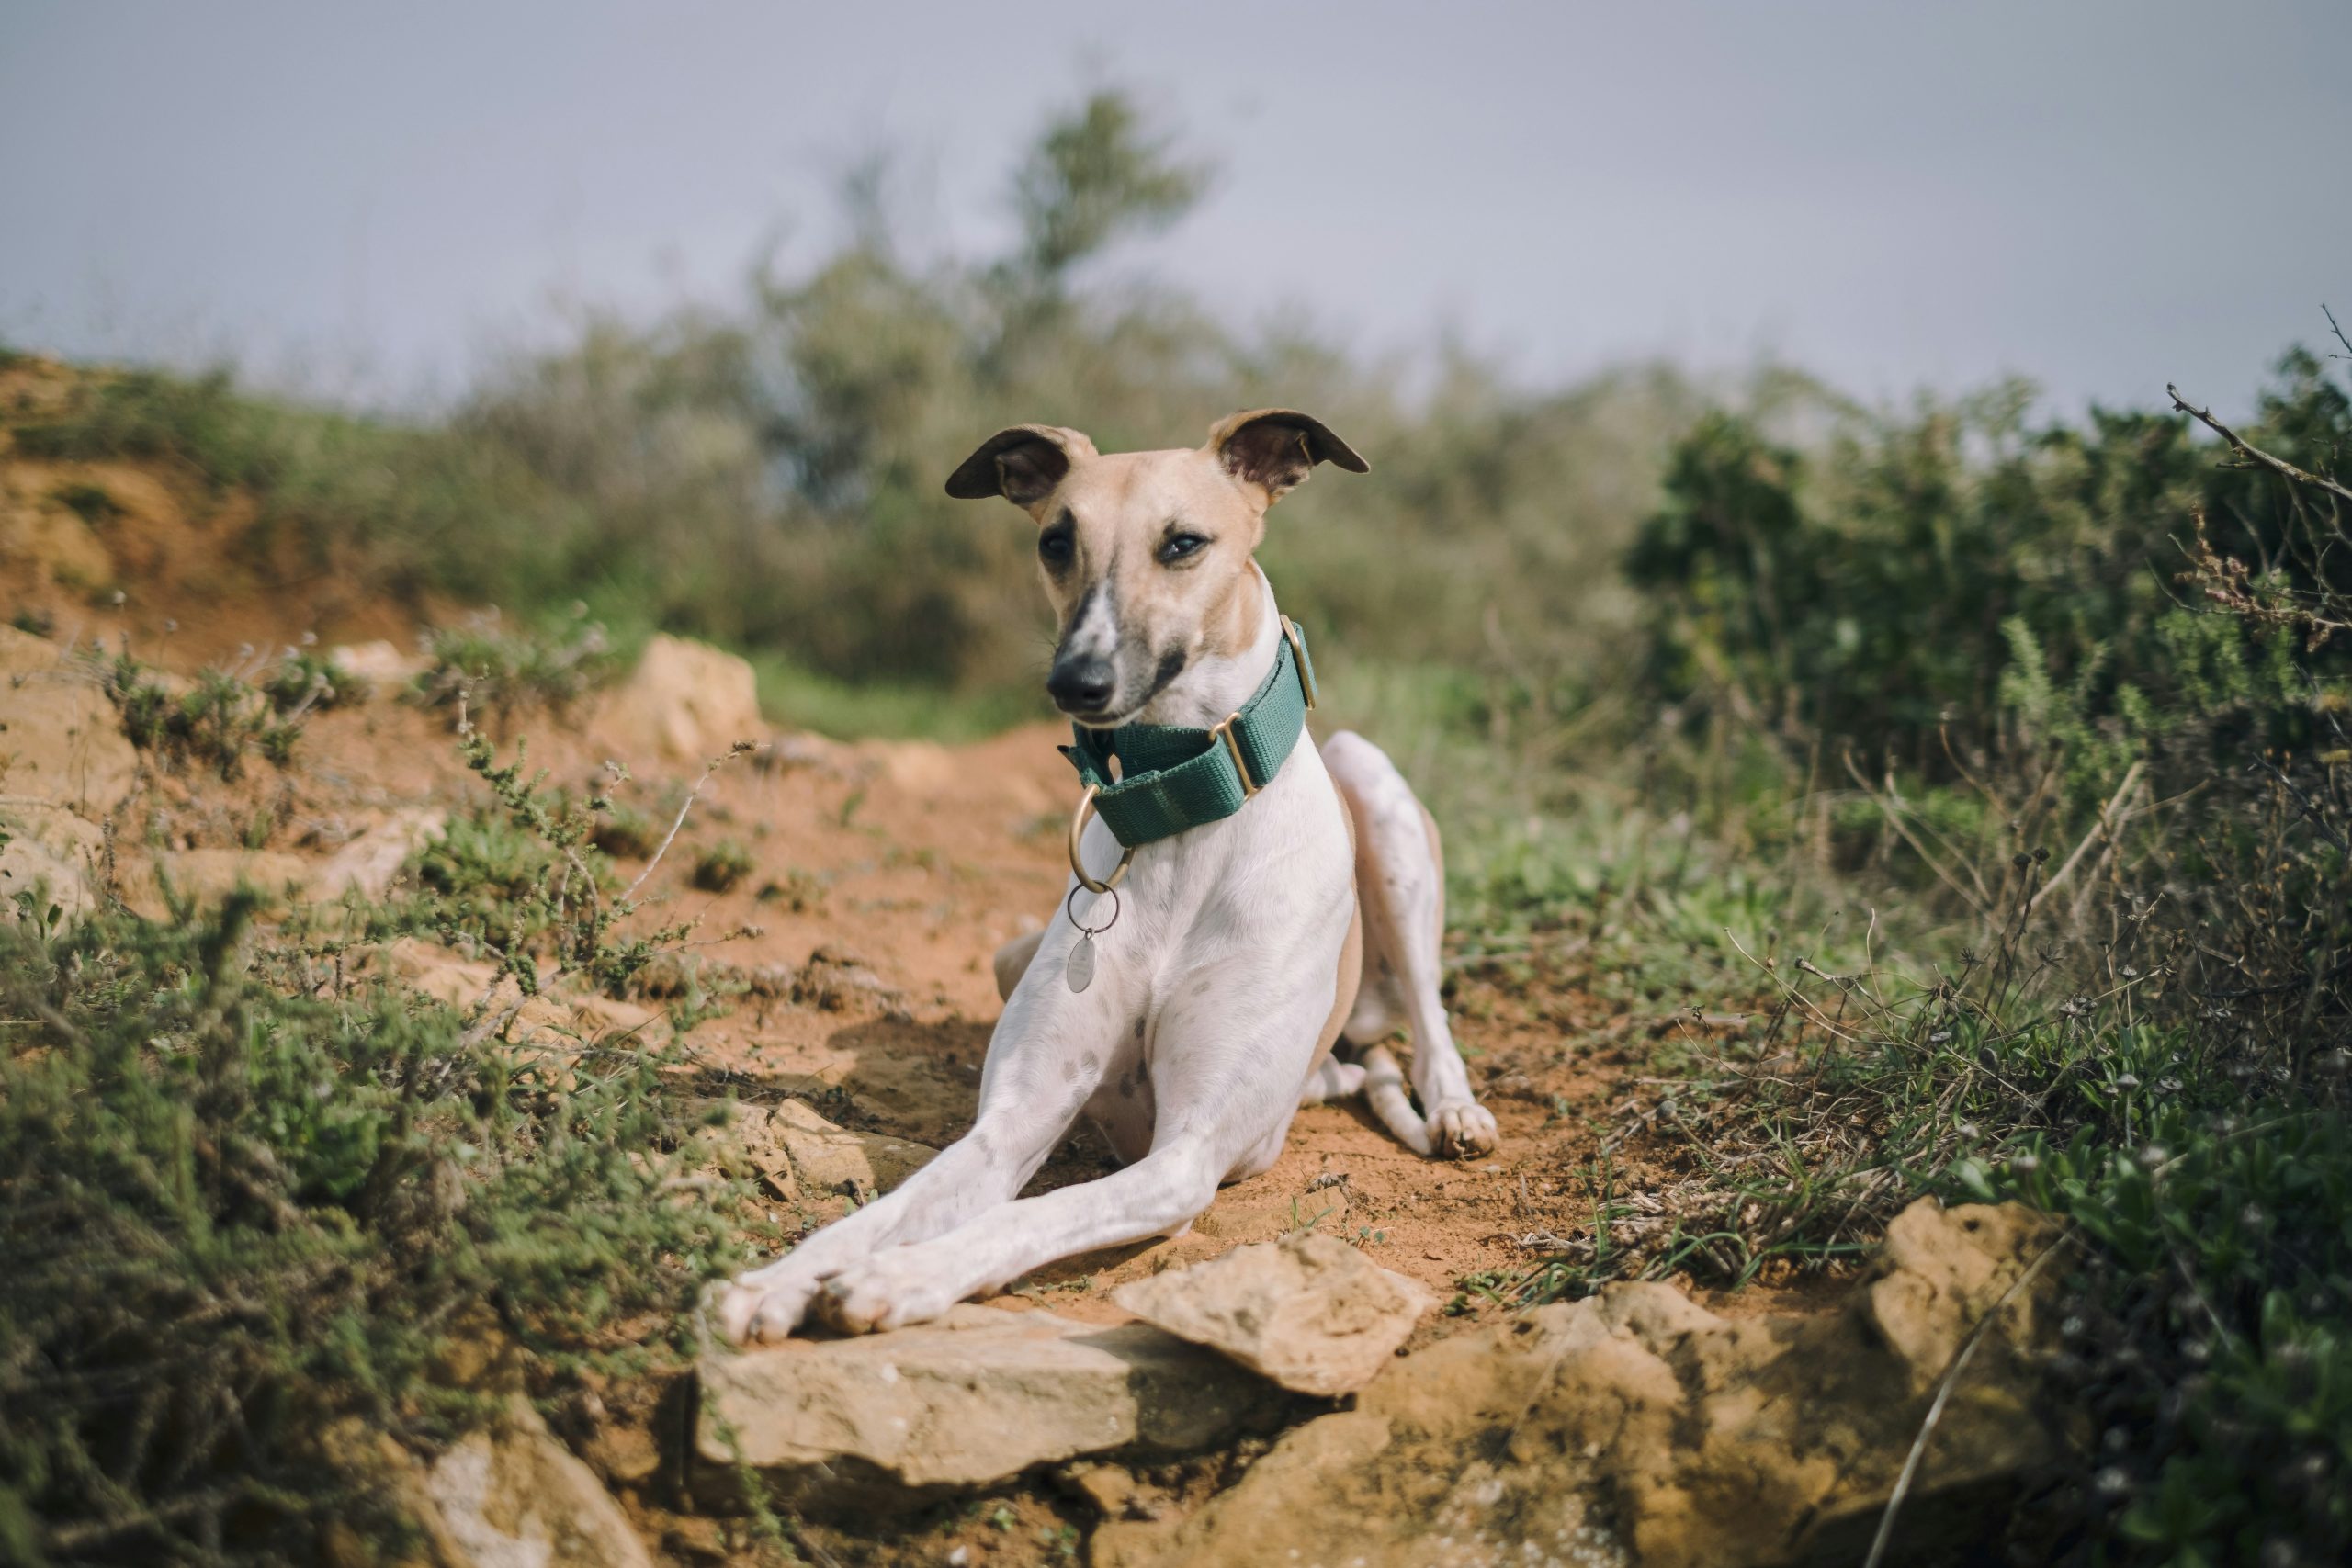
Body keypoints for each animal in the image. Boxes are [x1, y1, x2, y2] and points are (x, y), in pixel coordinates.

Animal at [710, 409, 1505, 1335]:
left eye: (1184, 542)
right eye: (1056, 541)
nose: (1075, 682)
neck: (1180, 818)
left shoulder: (1186, 1154)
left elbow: (1029, 1213)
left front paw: (899, 1276)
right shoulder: (1011, 1124)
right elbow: (895, 1206)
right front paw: (776, 1281)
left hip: (1373, 786)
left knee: (1428, 1015)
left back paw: (1455, 1107)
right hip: (1014, 955)